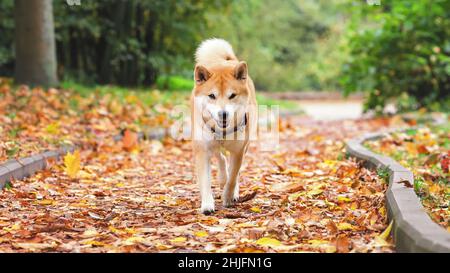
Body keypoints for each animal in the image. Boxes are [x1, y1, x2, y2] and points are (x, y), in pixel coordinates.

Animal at [191, 38, 256, 214]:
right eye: (211, 96)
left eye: (232, 95)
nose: (223, 114)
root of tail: (226, 61)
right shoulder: (202, 149)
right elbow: (205, 180)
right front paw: (207, 204)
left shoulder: (239, 150)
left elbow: (233, 177)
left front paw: (228, 196)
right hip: (210, 143)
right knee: (220, 157)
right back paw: (222, 177)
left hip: (245, 145)